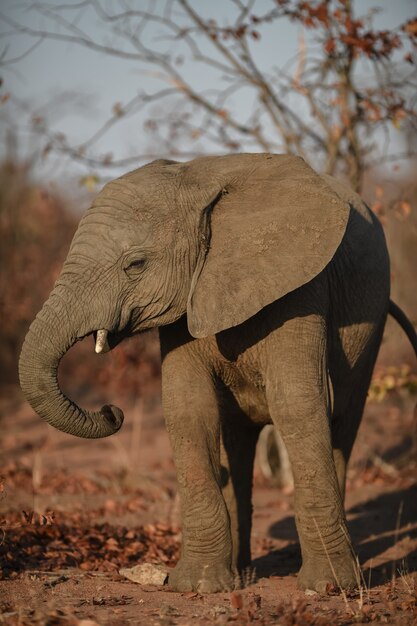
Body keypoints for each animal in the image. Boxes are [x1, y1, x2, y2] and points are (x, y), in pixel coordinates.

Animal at [19, 152, 416, 588]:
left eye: (135, 264)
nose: (112, 411)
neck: (197, 184)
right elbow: (189, 410)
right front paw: (199, 586)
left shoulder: (302, 287)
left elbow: (296, 404)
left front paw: (329, 588)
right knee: (236, 441)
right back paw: (242, 574)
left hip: (370, 327)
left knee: (343, 422)